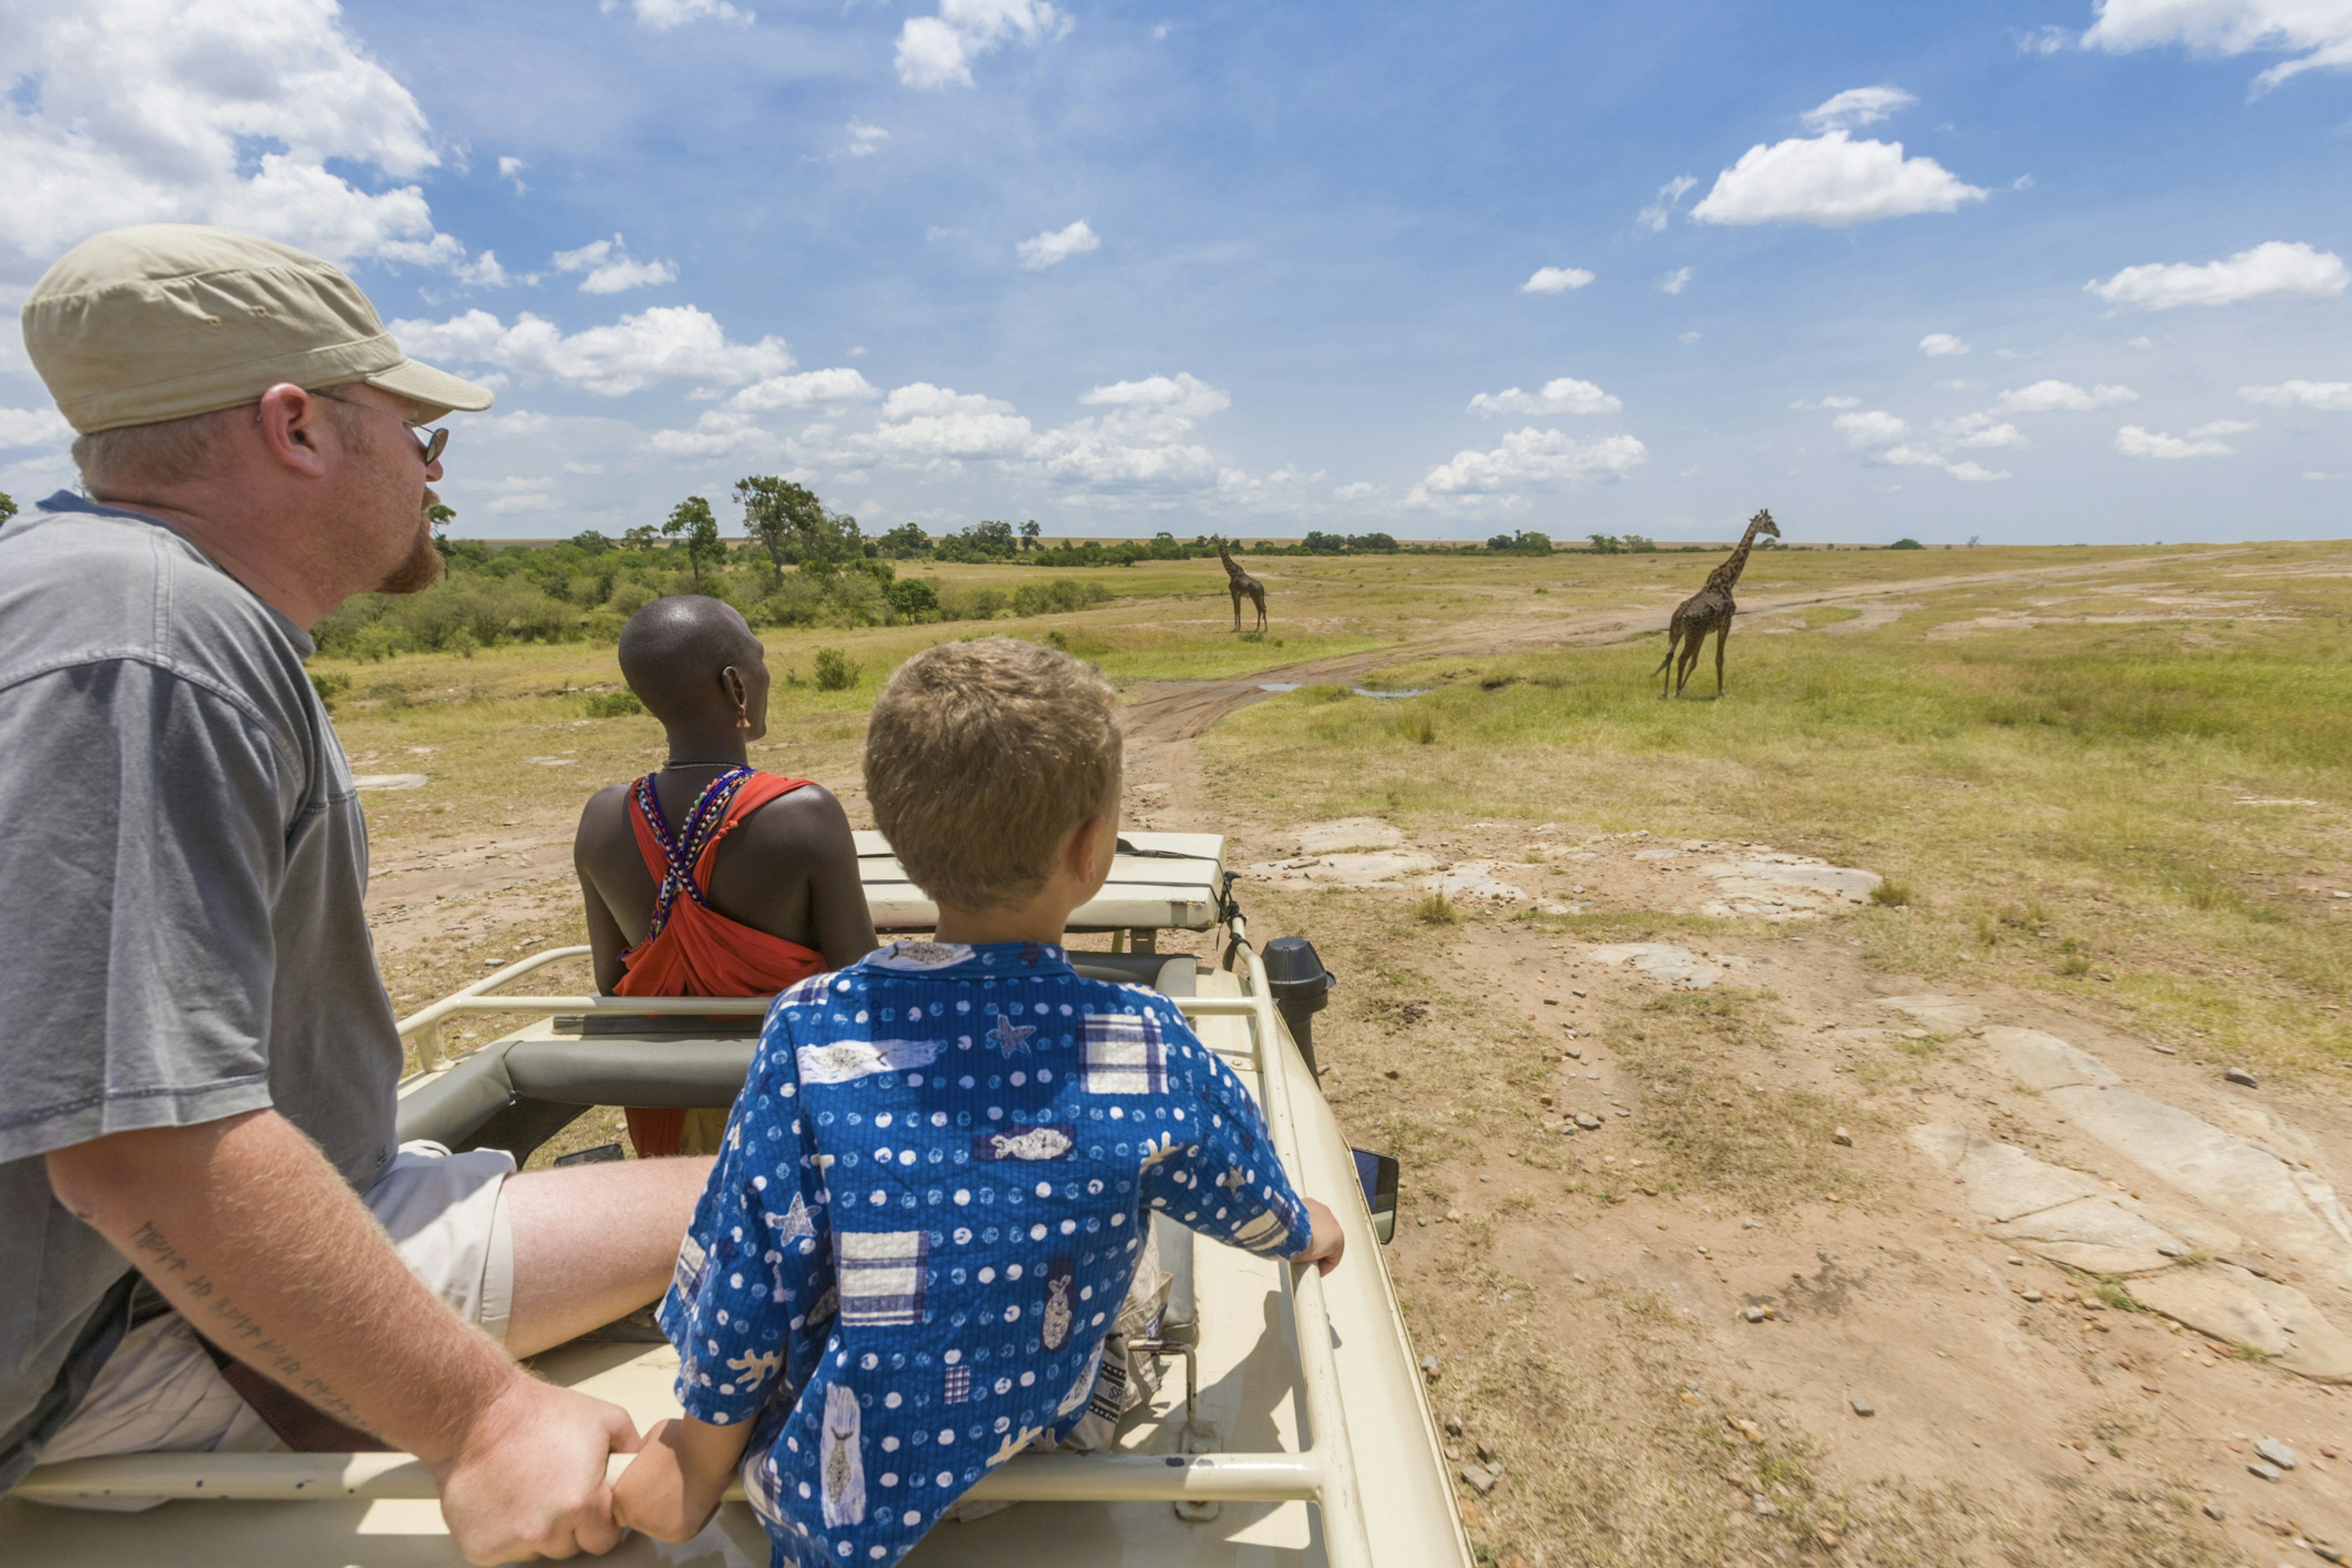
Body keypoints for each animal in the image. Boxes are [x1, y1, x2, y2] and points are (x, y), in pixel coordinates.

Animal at [1213, 540, 1270, 630]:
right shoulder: (1238, 595)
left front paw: (1235, 627)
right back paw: (1265, 628)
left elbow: (1235, 610)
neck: (1232, 574)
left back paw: (1258, 628)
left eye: (1213, 539)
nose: (1208, 543)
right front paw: (1239, 627)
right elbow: (1239, 610)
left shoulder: (1233, 593)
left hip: (1255, 597)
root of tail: (1262, 587)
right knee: (1264, 608)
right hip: (1261, 597)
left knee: (1260, 609)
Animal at [1656, 510, 1778, 700]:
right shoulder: (1726, 623)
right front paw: (1721, 691)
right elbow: (1719, 659)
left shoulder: (1705, 631)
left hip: (1676, 631)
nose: (1778, 533)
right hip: (1692, 633)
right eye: (1770, 523)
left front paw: (1683, 686)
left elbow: (1695, 662)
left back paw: (1665, 692)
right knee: (1681, 658)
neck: (1729, 580)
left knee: (1670, 654)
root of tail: (1680, 615)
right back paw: (1676, 693)